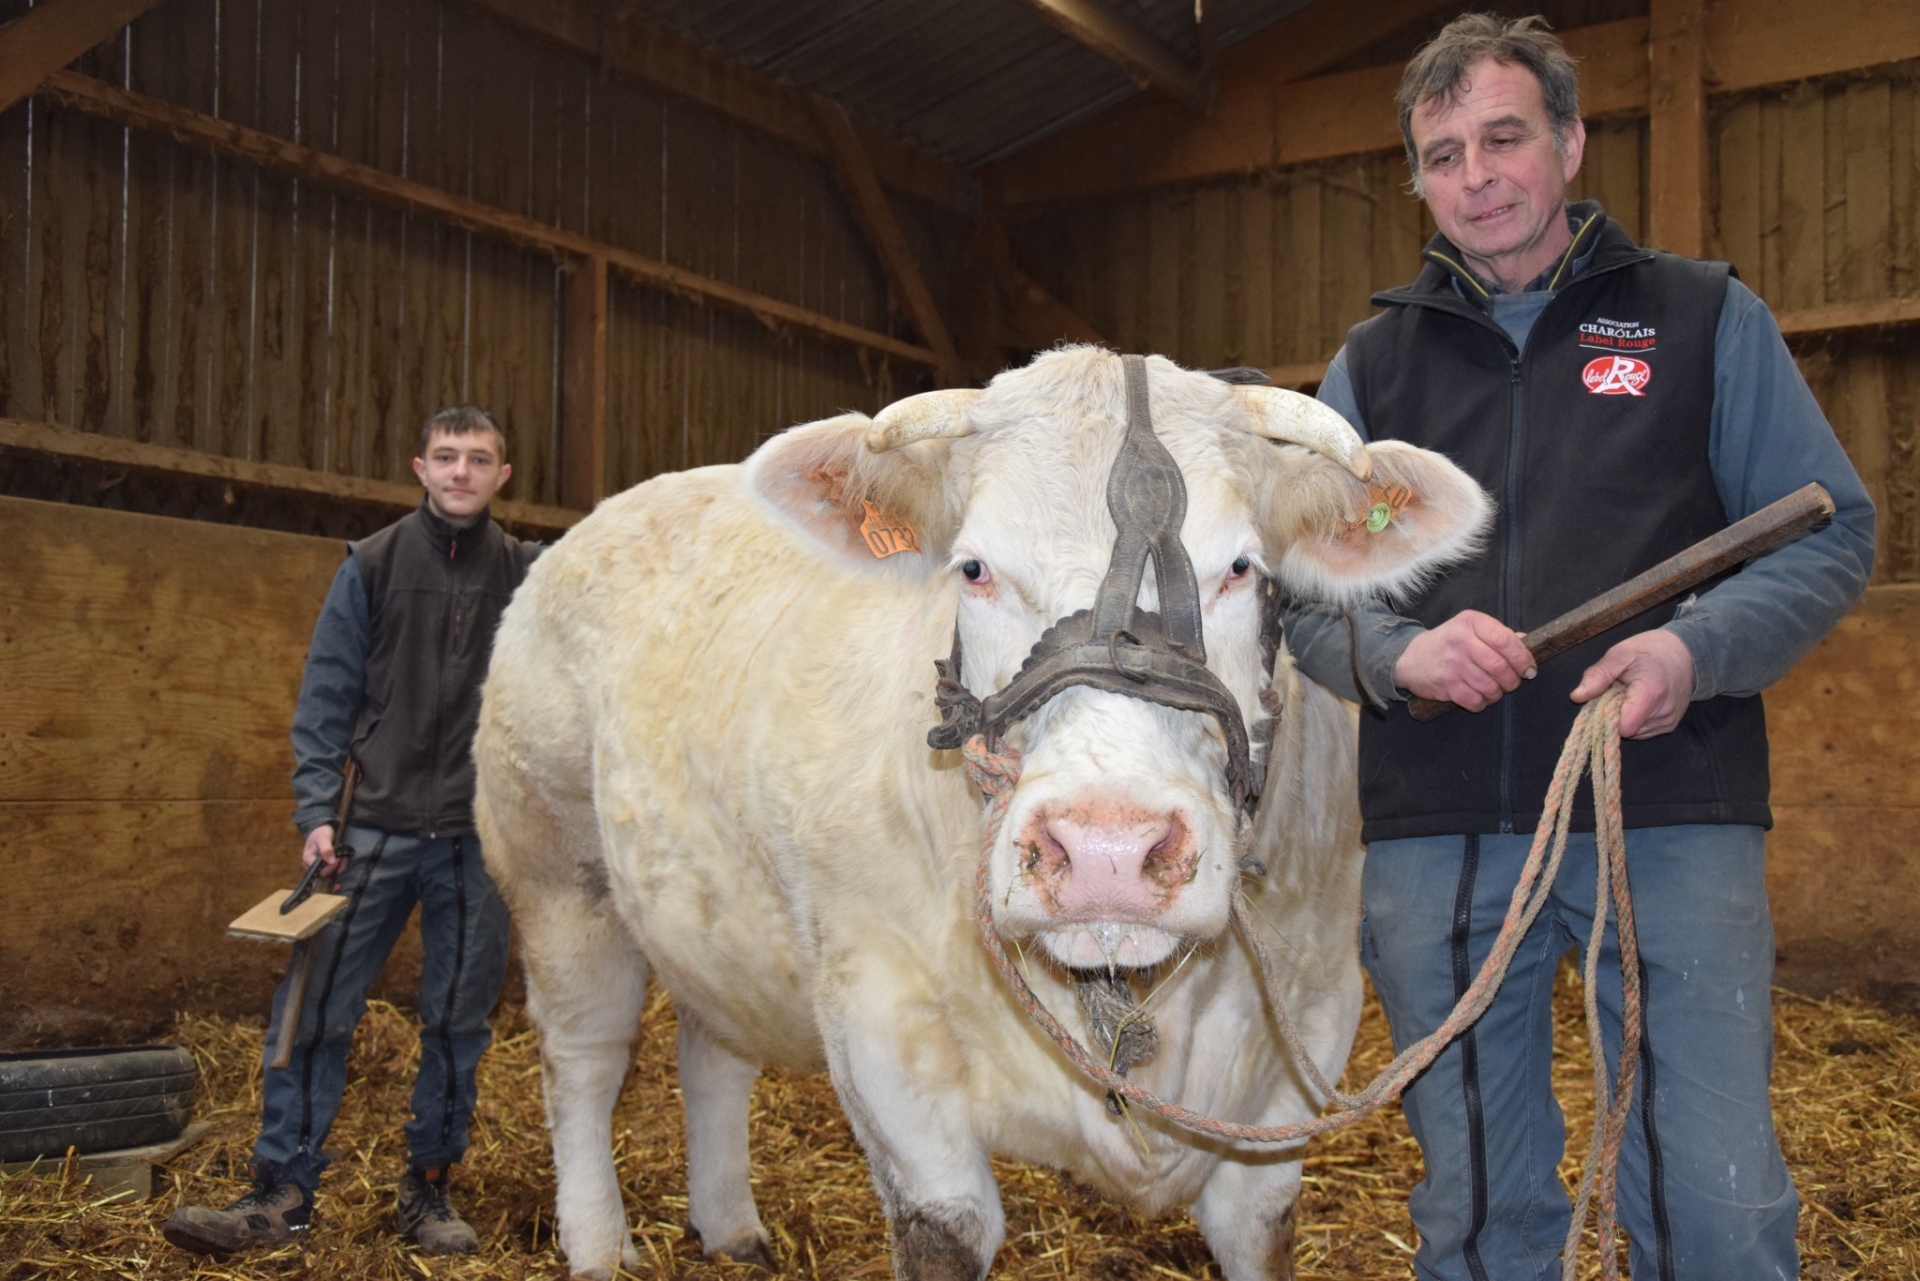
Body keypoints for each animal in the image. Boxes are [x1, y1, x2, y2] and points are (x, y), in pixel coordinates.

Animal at [472, 345, 1489, 1275]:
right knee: (583, 1058)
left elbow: (1259, 1222)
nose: (1106, 848)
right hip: (556, 872)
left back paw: (731, 1226)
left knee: (713, 1044)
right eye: (971, 568)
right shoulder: (880, 1023)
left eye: (1242, 566)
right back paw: (599, 1244)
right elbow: (946, 1226)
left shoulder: (1313, 1018)